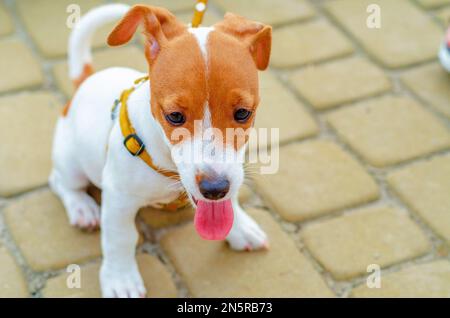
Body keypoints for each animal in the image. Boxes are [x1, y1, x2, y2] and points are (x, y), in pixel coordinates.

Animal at [51, 3, 272, 298]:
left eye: (243, 113)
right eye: (175, 116)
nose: (214, 189)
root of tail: (86, 82)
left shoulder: (232, 172)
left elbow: (230, 201)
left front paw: (240, 228)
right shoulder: (118, 198)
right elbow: (120, 239)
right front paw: (120, 278)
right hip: (71, 163)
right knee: (60, 182)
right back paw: (82, 208)